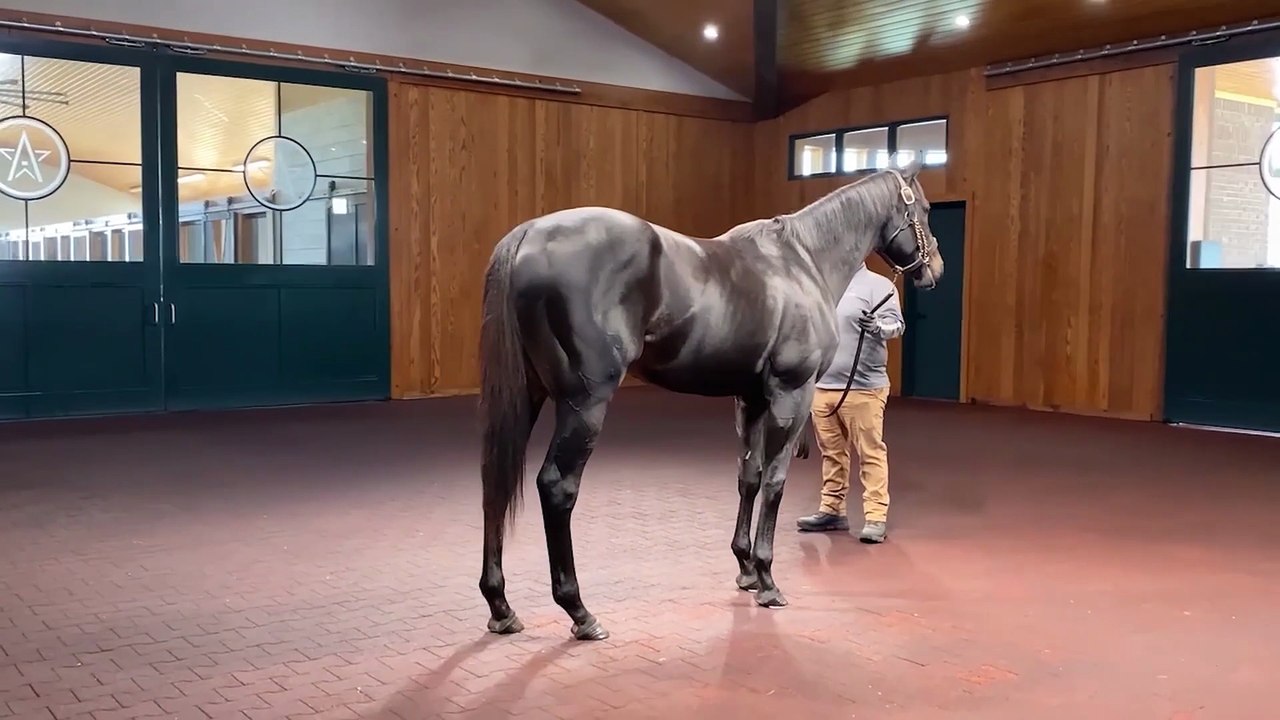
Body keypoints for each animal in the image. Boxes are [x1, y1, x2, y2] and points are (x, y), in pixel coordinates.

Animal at [477, 157, 944, 642]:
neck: (802, 262)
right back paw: (580, 612)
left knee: (495, 479)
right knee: (557, 486)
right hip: (584, 403)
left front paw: (746, 568)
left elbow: (749, 477)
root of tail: (528, 234)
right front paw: (768, 579)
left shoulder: (750, 398)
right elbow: (775, 482)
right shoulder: (791, 395)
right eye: (925, 209)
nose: (935, 269)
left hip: (529, 394)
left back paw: (501, 606)